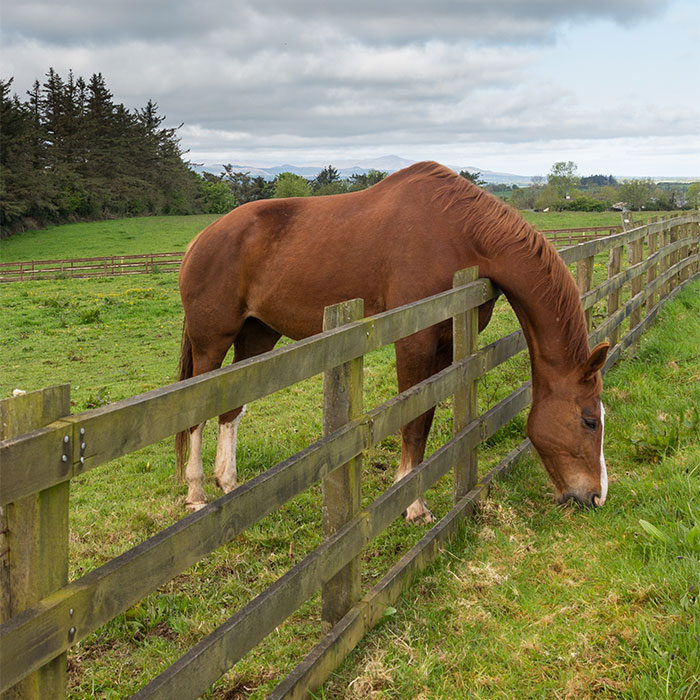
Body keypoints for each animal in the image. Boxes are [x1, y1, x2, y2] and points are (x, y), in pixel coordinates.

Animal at [176, 161, 609, 521]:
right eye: (589, 421)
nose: (597, 496)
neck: (464, 235)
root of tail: (201, 239)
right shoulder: (414, 341)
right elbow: (413, 421)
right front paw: (412, 503)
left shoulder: (447, 345)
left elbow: (427, 414)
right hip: (211, 341)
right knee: (196, 413)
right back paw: (196, 494)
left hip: (257, 335)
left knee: (230, 408)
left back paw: (229, 486)